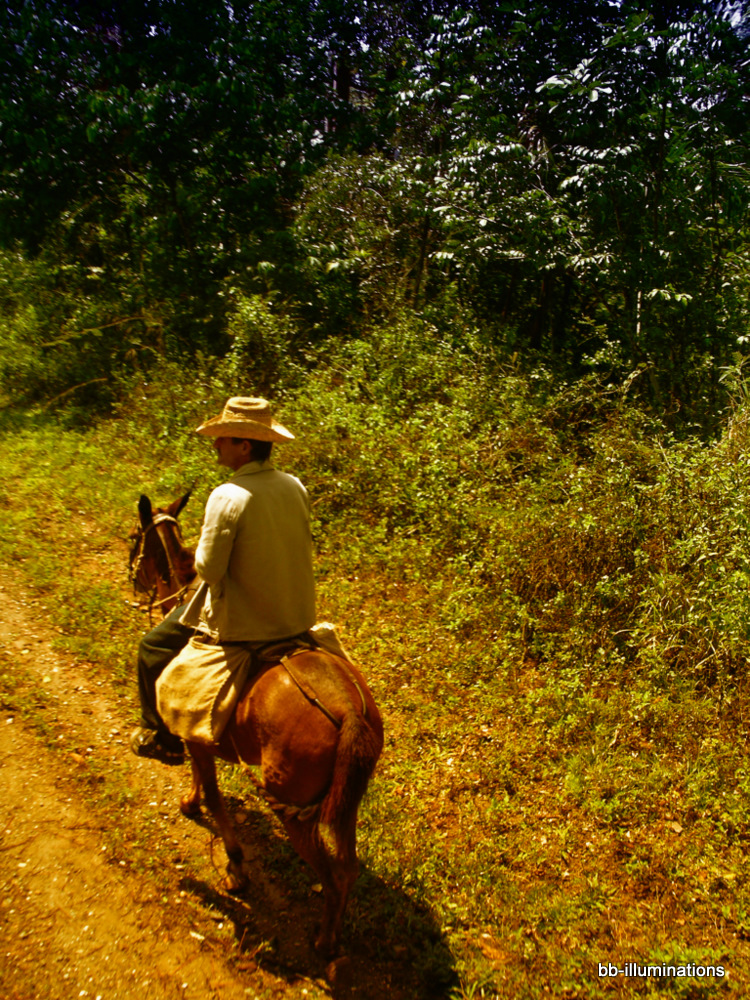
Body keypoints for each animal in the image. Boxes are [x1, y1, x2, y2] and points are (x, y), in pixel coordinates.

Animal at [129, 492, 384, 952]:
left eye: (132, 538)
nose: (135, 584)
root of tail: (350, 712)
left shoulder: (196, 736)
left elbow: (214, 795)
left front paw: (235, 866)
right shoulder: (199, 737)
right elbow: (202, 780)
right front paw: (190, 802)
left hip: (293, 809)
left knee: (332, 874)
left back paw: (324, 940)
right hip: (345, 801)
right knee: (348, 865)